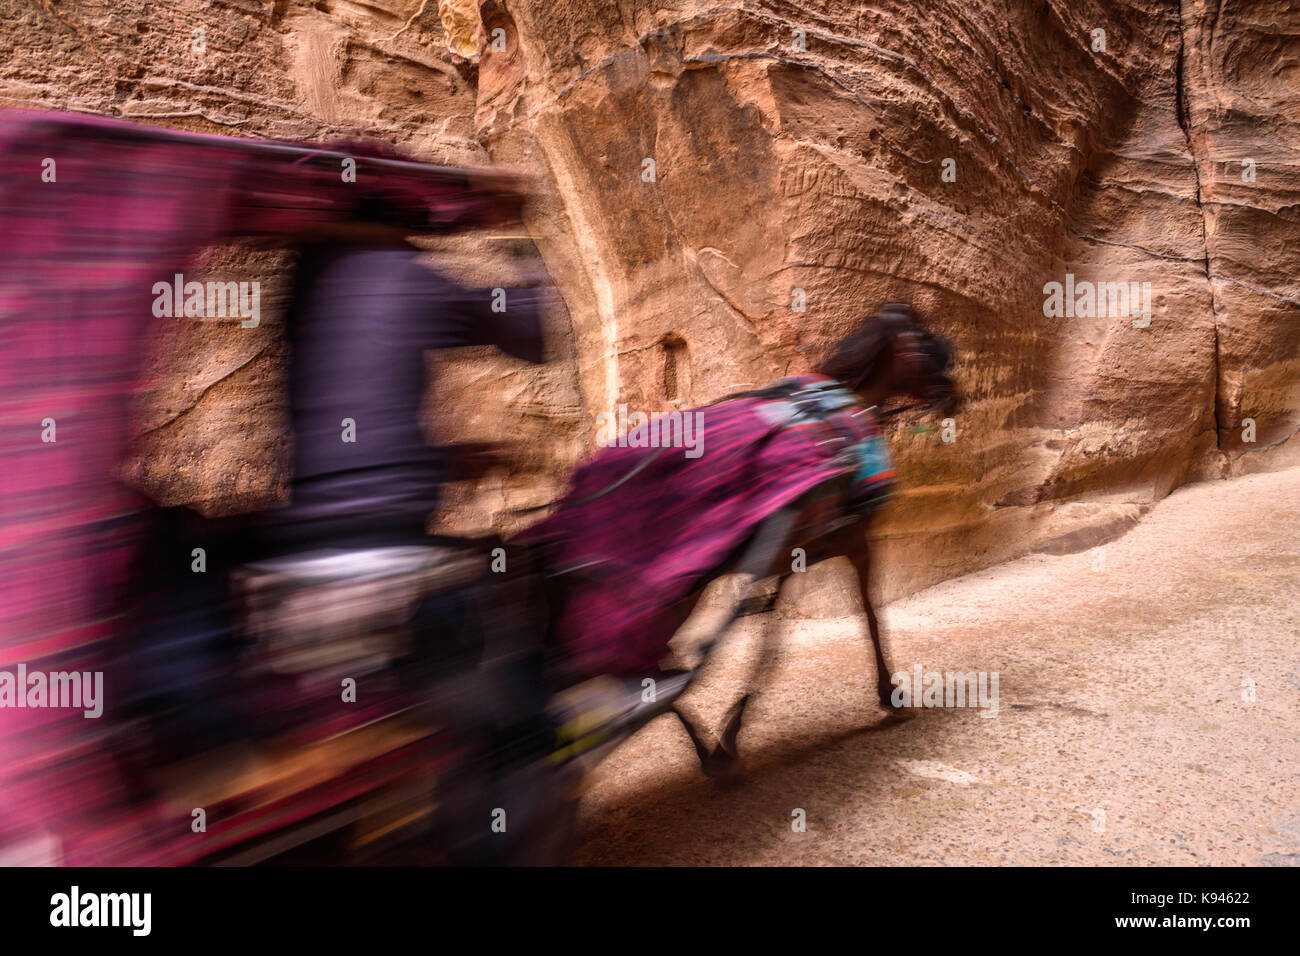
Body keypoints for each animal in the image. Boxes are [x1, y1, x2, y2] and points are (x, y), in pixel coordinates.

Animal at [514, 304, 956, 780]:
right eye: (928, 344)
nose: (954, 394)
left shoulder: (791, 557)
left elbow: (770, 640)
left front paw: (732, 728)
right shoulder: (851, 541)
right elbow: (868, 615)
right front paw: (889, 693)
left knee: (639, 667)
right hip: (667, 595)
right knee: (646, 667)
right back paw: (700, 750)